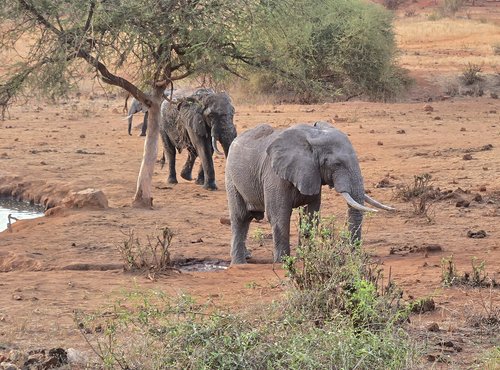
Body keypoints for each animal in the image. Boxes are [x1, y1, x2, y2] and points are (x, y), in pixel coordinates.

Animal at [226, 120, 394, 264]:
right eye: (336, 164)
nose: (354, 258)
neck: (313, 137)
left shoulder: (313, 173)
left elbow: (311, 214)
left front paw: (307, 257)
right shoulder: (274, 176)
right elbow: (279, 216)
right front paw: (283, 262)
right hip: (231, 178)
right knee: (240, 217)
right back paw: (239, 263)